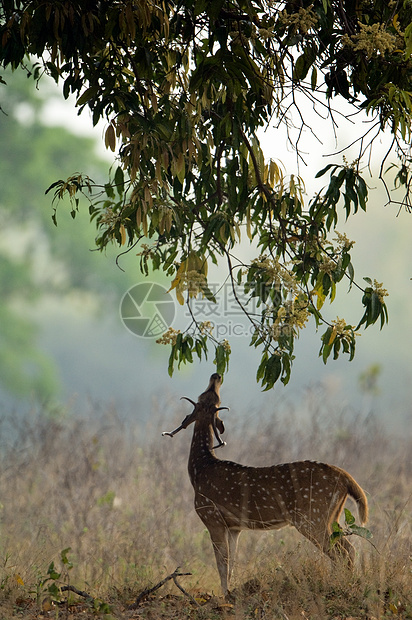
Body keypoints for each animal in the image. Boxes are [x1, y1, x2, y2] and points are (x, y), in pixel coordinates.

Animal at [161, 372, 366, 596]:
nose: (216, 375)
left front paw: (224, 595)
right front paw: (230, 592)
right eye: (207, 396)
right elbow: (231, 564)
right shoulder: (234, 526)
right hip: (331, 517)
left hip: (312, 516)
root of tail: (346, 478)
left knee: (341, 552)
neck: (200, 469)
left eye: (214, 398)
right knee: (349, 548)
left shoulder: (211, 515)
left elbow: (221, 563)